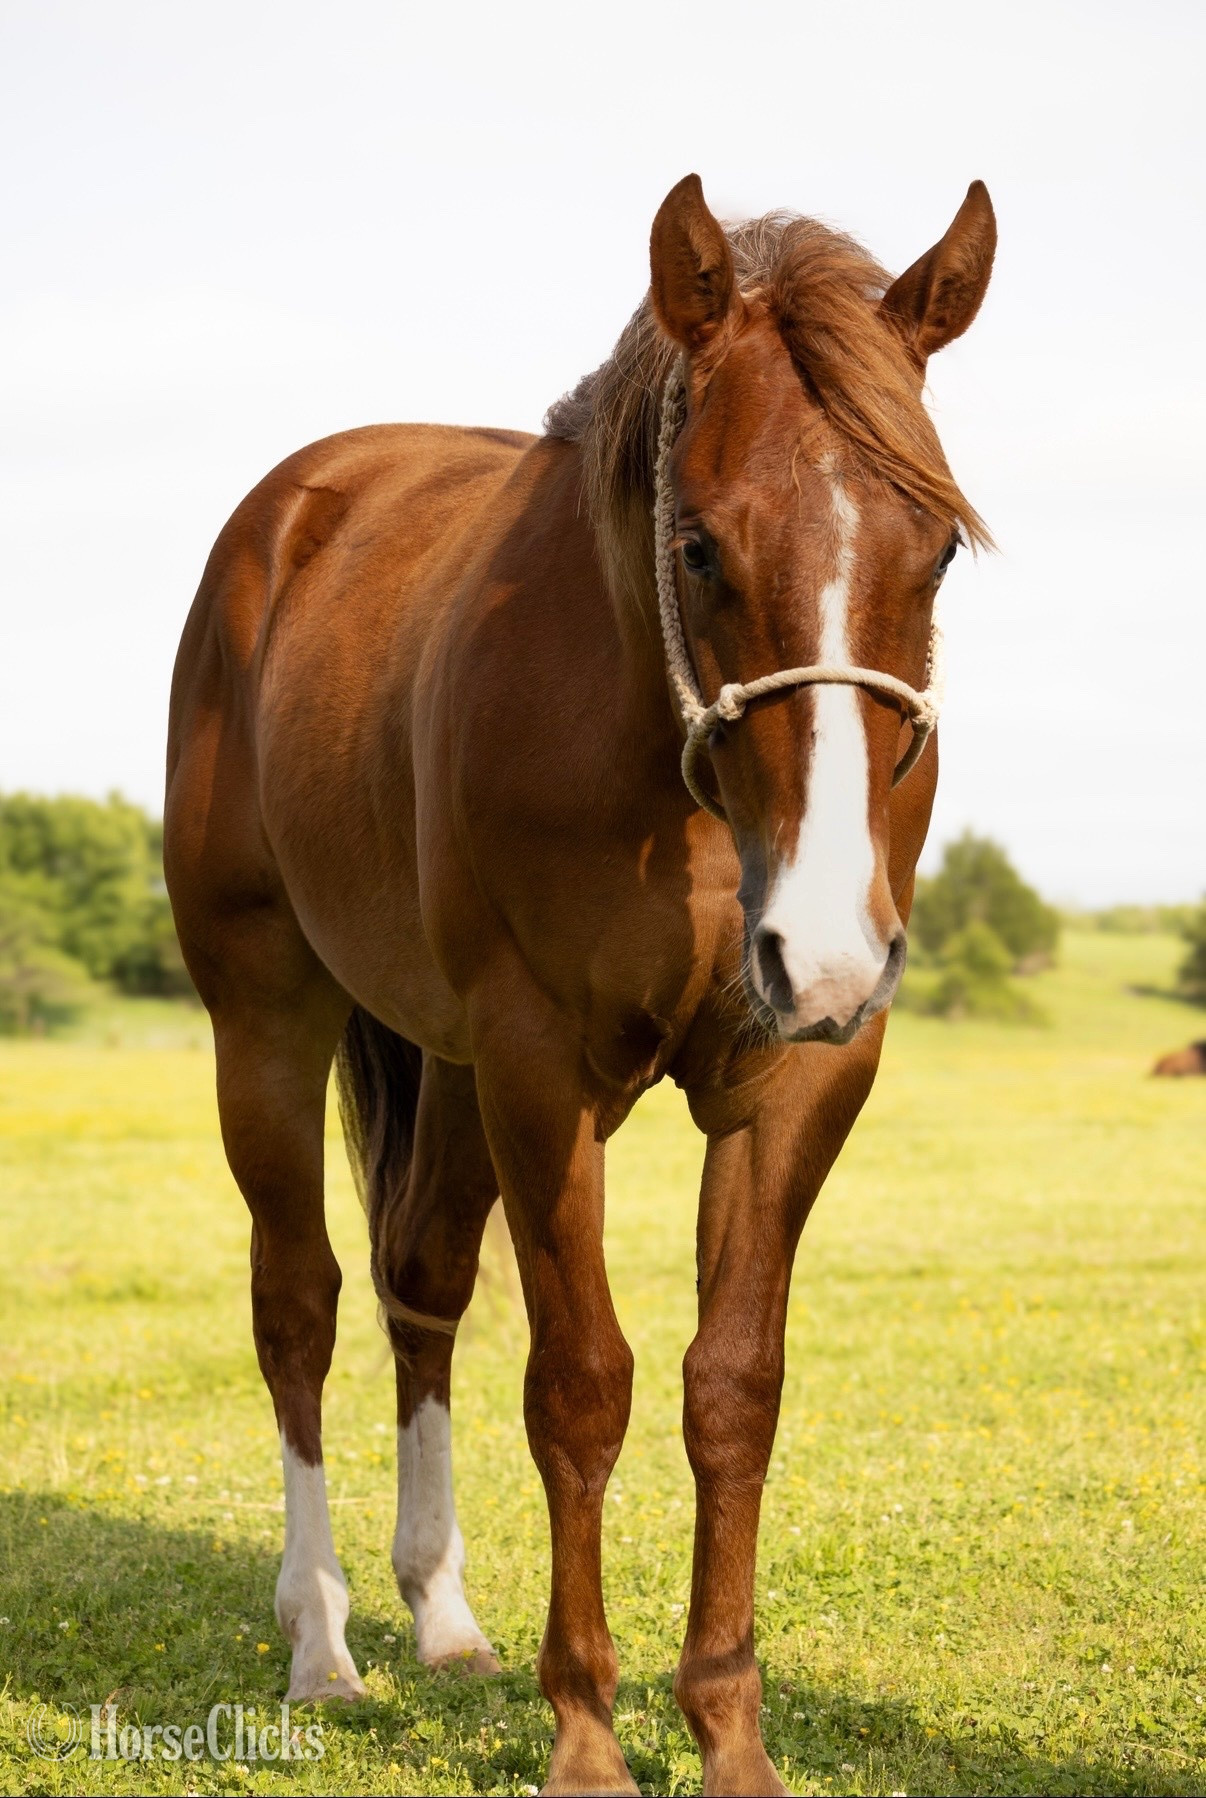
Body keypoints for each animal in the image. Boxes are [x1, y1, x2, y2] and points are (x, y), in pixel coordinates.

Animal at [164, 172, 995, 1796]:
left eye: (934, 547)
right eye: (702, 547)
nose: (825, 943)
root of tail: (293, 513)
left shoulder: (797, 1074)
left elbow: (731, 1388)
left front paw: (727, 1731)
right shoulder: (544, 1066)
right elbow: (582, 1384)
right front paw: (590, 1734)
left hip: (447, 1067)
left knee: (421, 1279)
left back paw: (441, 1618)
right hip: (268, 1016)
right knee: (300, 1302)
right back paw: (323, 1643)